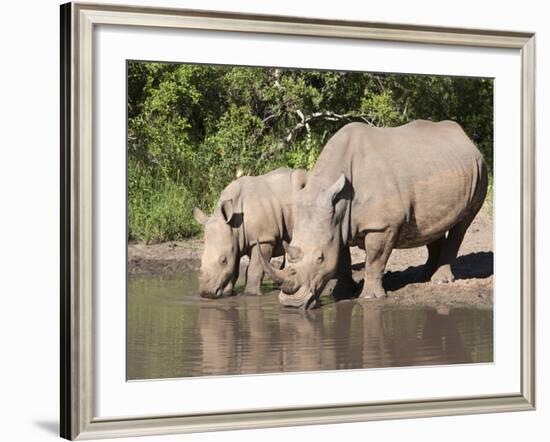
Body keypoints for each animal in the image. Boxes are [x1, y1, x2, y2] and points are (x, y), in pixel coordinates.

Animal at [194, 167, 308, 298]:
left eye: (223, 260)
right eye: (201, 260)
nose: (207, 293)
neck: (234, 225)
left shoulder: (264, 239)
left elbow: (255, 267)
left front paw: (251, 294)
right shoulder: (235, 240)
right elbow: (234, 269)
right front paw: (229, 293)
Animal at [260, 119, 490, 310]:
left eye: (319, 258)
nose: (290, 304)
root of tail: (466, 137)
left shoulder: (382, 225)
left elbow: (375, 259)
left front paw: (370, 297)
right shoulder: (337, 224)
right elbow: (342, 258)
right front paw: (342, 293)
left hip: (481, 169)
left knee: (462, 225)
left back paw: (439, 280)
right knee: (433, 224)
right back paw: (424, 275)